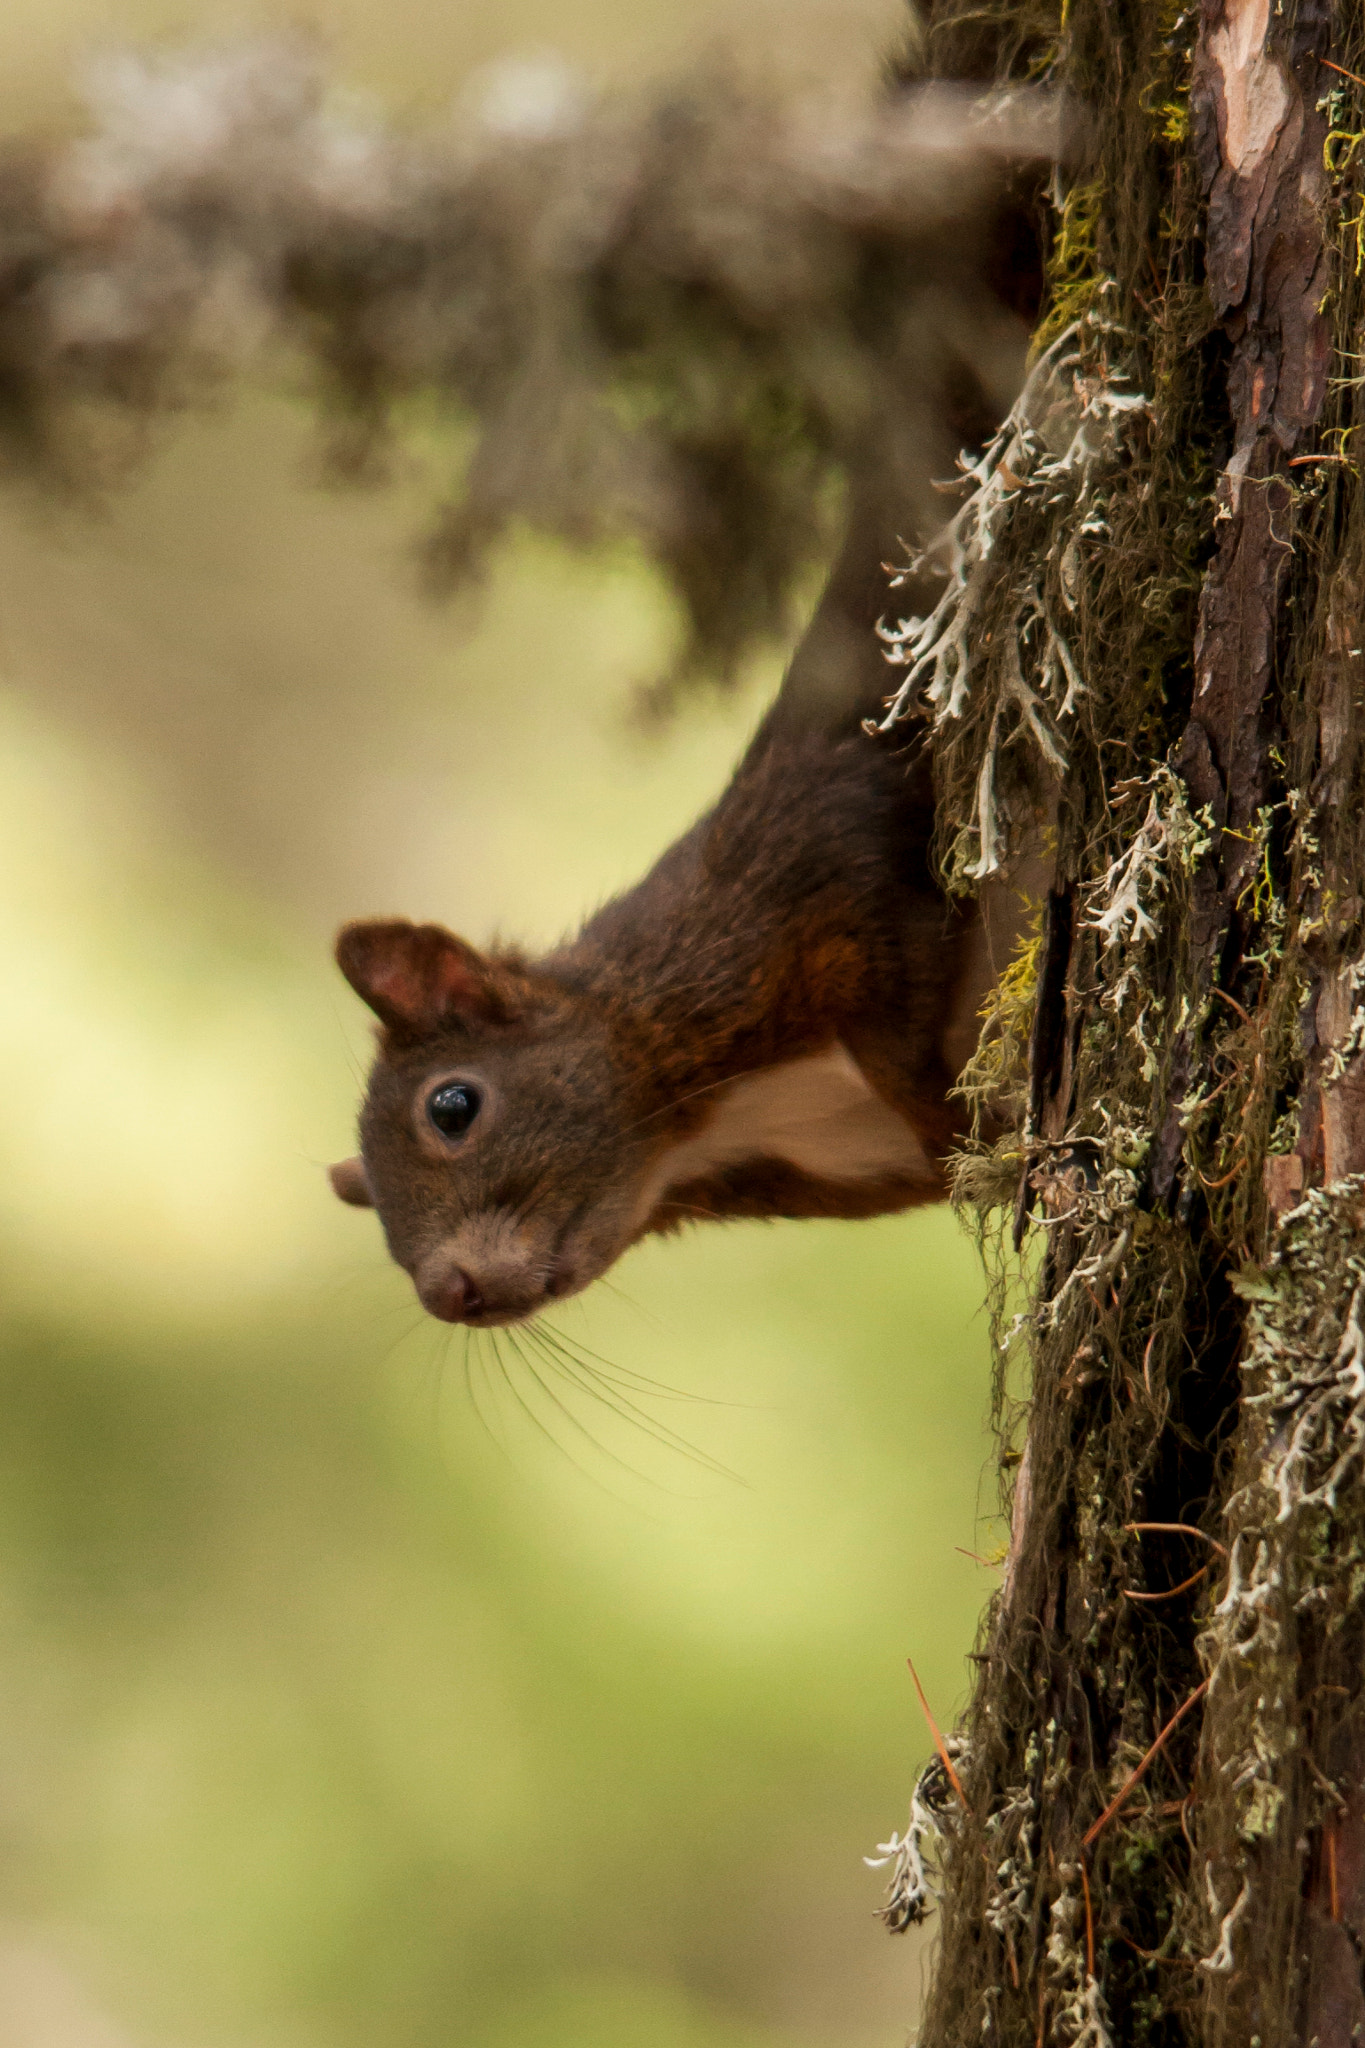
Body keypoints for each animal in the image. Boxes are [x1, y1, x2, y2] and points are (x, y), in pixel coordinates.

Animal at [328, 495, 1023, 1327]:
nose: (445, 1296)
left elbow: (896, 1009)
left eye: (453, 1106)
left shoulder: (823, 852)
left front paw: (949, 1122)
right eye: (370, 1203)